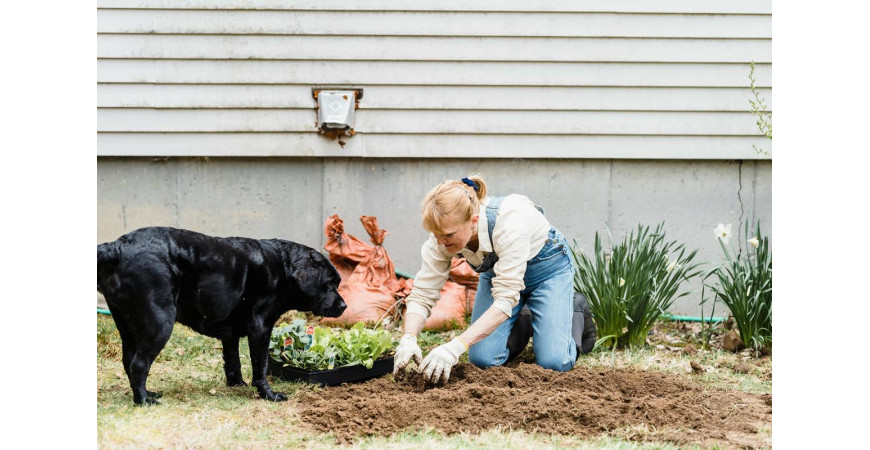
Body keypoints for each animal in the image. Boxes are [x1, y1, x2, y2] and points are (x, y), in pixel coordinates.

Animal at [98, 227, 348, 406]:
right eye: (329, 284)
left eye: (337, 283)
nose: (344, 305)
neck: (284, 267)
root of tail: (117, 246)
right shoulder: (261, 327)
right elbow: (261, 365)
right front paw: (268, 395)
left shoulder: (231, 334)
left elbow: (233, 361)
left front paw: (237, 384)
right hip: (160, 323)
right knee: (139, 364)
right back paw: (143, 401)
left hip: (127, 325)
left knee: (129, 361)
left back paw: (146, 394)